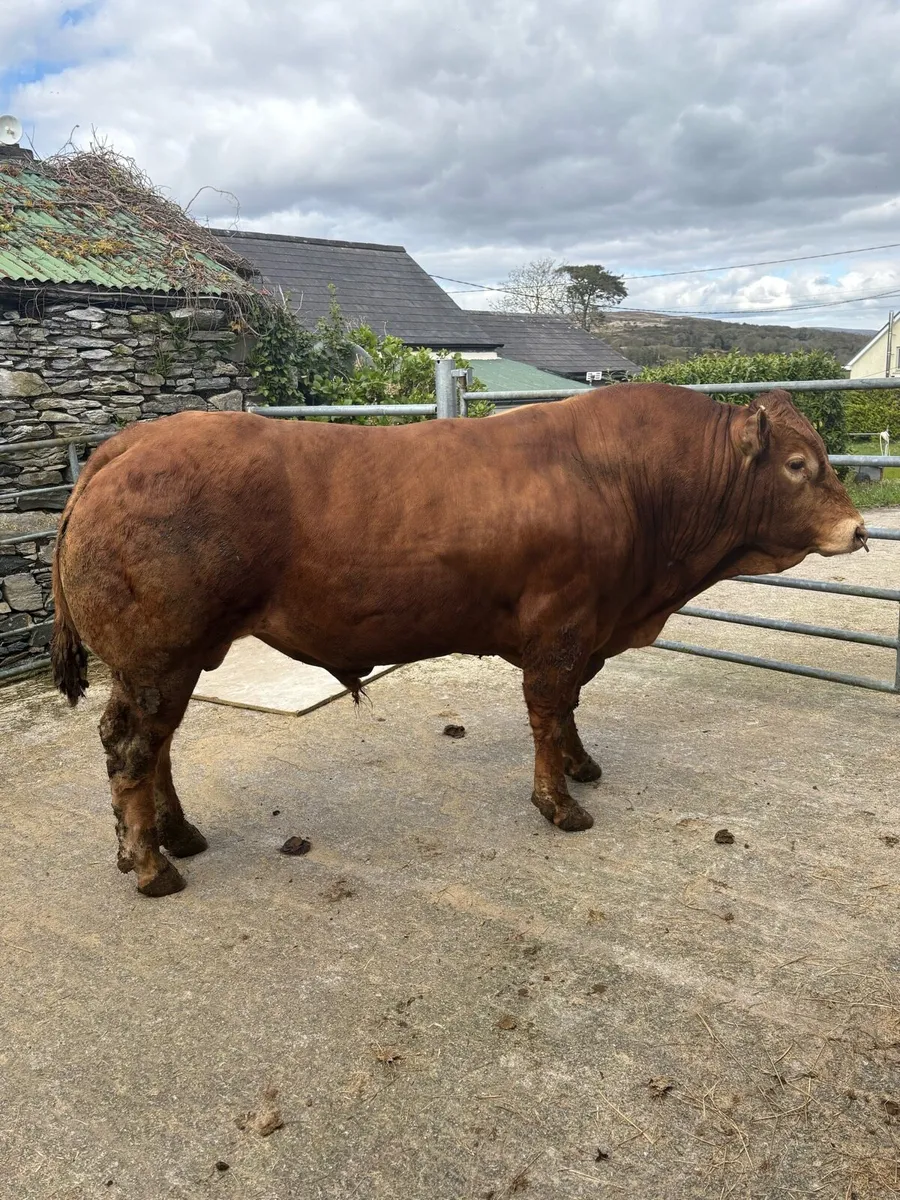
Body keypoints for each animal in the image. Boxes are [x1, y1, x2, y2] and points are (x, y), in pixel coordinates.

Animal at [51, 383, 867, 897]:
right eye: (799, 464)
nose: (860, 530)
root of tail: (128, 444)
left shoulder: (584, 630)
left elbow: (569, 710)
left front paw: (582, 766)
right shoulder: (562, 625)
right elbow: (548, 708)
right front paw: (559, 802)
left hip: (167, 660)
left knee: (153, 745)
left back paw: (175, 834)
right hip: (159, 654)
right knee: (132, 747)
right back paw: (152, 865)